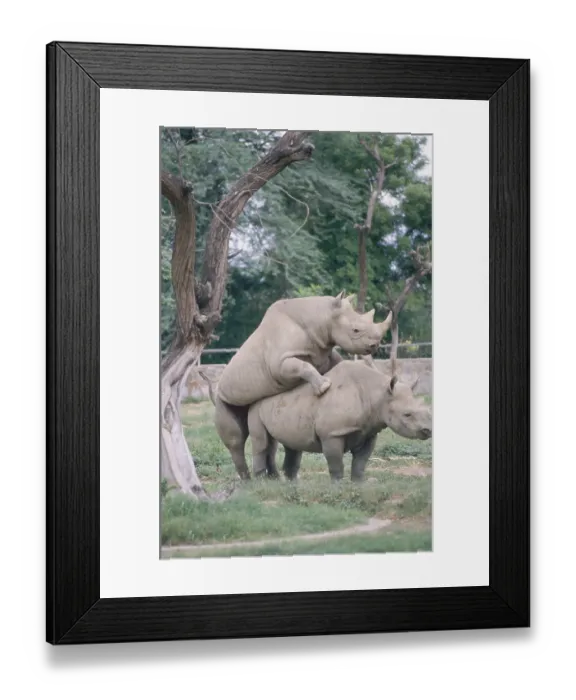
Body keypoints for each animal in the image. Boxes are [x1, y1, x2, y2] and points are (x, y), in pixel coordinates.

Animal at [207, 292, 392, 480]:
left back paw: (274, 478)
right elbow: (301, 366)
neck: (322, 317)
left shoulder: (324, 353)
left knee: (271, 440)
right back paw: (248, 481)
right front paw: (324, 387)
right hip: (222, 397)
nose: (375, 345)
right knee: (236, 439)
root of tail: (218, 386)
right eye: (355, 330)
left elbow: (336, 362)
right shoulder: (280, 363)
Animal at [245, 358, 432, 482]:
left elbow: (361, 462)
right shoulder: (332, 433)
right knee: (262, 442)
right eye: (407, 414)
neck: (378, 395)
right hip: (256, 406)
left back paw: (289, 484)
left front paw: (359, 484)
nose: (428, 430)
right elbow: (336, 463)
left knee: (289, 444)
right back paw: (262, 483)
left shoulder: (369, 431)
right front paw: (338, 486)